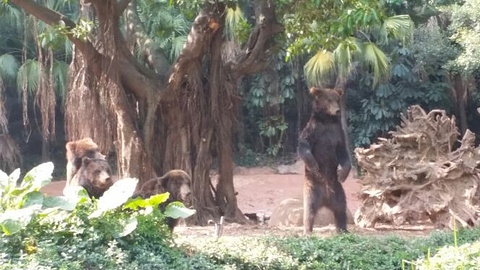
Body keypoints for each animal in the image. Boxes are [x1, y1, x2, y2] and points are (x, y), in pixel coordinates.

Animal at [298, 87, 350, 234]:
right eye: (329, 100)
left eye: (337, 99)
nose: (337, 110)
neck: (327, 120)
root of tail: (326, 199)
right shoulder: (314, 129)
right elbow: (304, 144)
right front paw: (314, 166)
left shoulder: (338, 133)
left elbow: (343, 152)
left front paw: (342, 174)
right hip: (313, 188)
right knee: (309, 210)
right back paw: (307, 230)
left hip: (338, 191)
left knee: (341, 209)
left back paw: (343, 229)